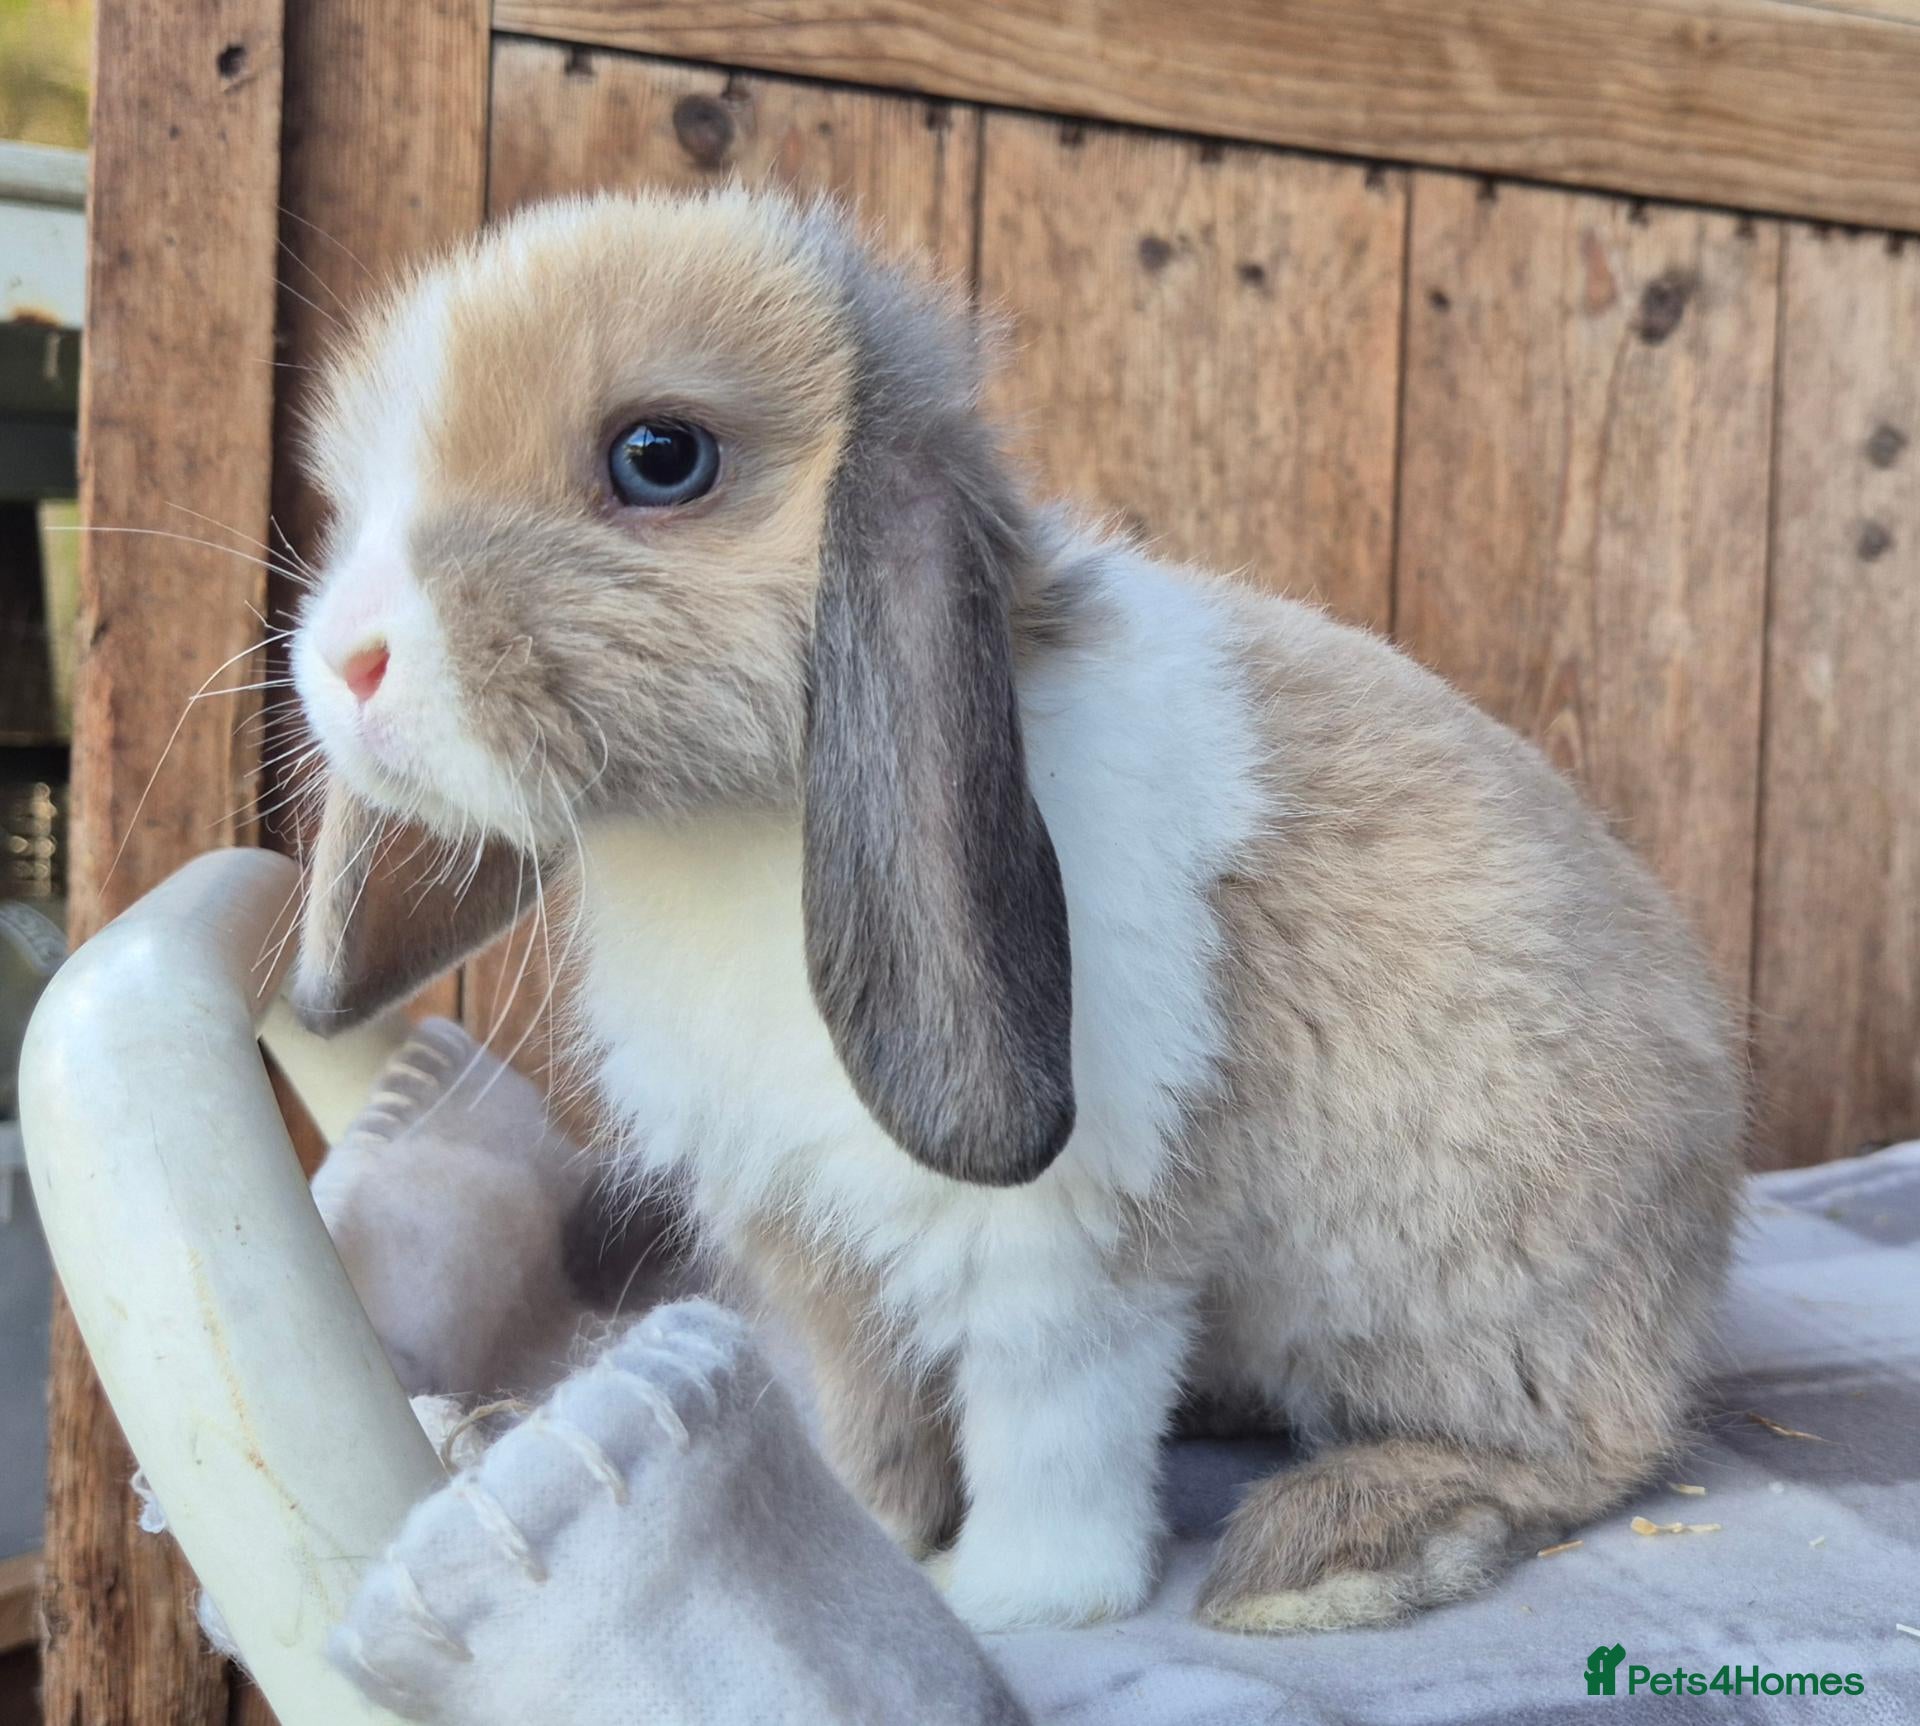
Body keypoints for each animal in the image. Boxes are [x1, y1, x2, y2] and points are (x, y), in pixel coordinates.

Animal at [286, 186, 1745, 1635]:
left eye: (658, 457)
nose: (347, 661)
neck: (732, 830)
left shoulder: (1066, 1247)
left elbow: (1053, 1431)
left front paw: (1009, 1601)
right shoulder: (818, 1245)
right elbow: (871, 1415)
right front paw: (872, 1536)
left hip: (1486, 1300)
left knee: (1589, 1445)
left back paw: (1327, 1556)